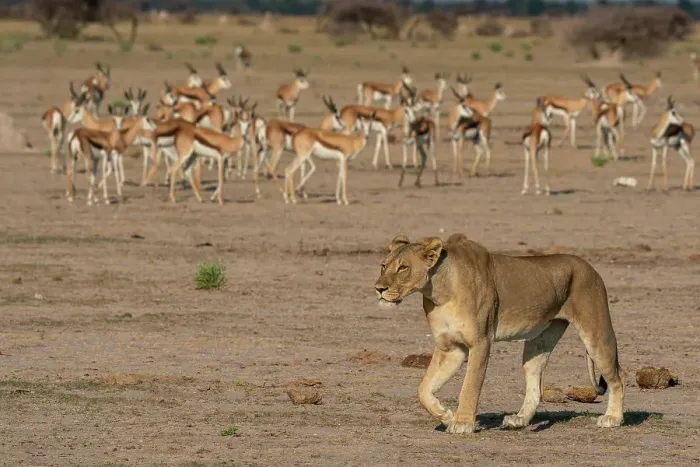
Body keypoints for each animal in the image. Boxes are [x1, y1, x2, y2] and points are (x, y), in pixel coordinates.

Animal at [374, 233, 625, 434]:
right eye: (383, 266)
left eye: (403, 267)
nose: (379, 289)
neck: (439, 292)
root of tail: (589, 266)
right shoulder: (450, 347)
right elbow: (424, 389)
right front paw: (445, 415)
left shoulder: (480, 342)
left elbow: (470, 386)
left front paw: (462, 423)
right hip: (539, 341)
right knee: (535, 384)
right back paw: (519, 420)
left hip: (595, 333)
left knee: (618, 377)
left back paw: (612, 418)